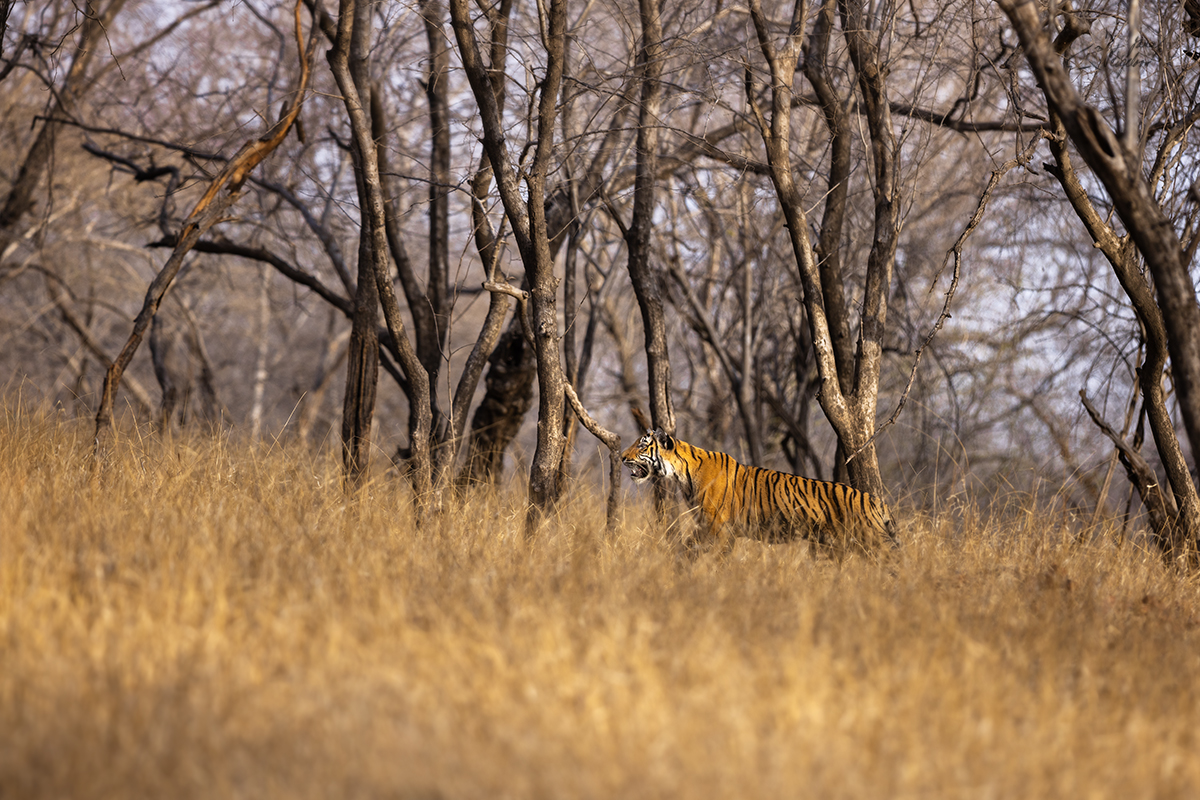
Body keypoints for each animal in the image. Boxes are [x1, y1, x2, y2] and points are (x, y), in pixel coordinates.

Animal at [624, 431, 897, 556]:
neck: (683, 475)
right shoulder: (706, 526)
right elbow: (687, 548)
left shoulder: (718, 528)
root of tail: (875, 500)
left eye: (641, 446)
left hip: (872, 542)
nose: (622, 457)